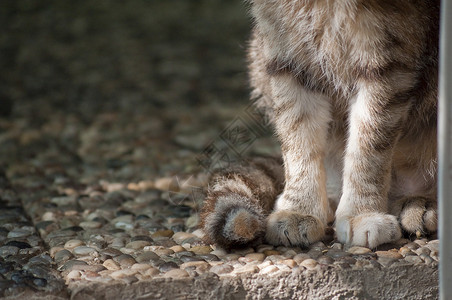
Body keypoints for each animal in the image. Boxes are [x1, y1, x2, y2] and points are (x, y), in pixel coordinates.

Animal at [200, 0, 438, 250]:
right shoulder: (287, 55)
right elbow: (298, 142)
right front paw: (298, 209)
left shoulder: (387, 61)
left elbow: (368, 150)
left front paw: (361, 212)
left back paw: (421, 203)